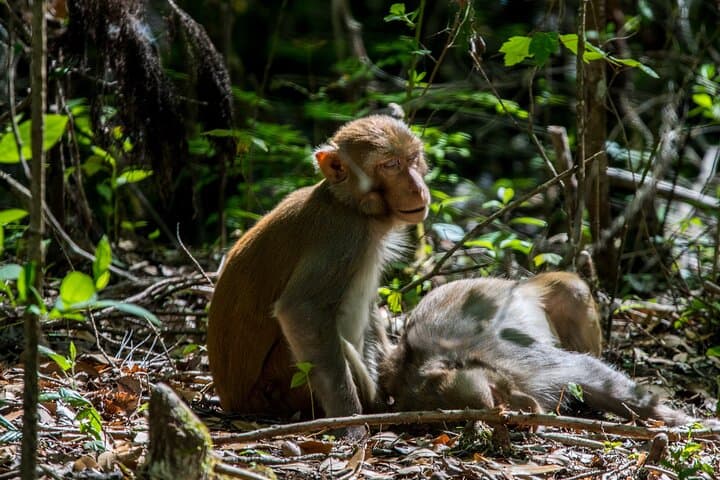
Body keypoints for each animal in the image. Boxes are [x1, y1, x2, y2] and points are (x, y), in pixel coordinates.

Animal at [207, 115, 430, 420]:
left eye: (412, 159)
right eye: (391, 165)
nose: (417, 188)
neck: (348, 204)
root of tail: (232, 403)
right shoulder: (343, 236)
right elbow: (301, 310)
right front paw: (350, 419)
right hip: (282, 386)